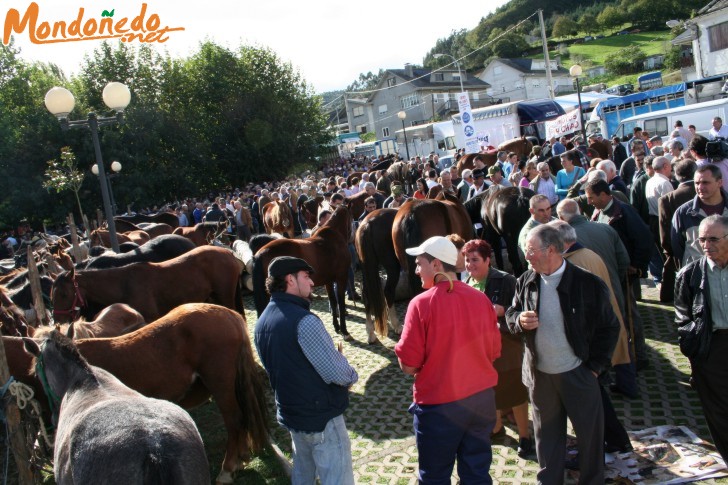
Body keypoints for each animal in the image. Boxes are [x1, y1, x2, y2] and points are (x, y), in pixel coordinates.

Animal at [253, 206, 352, 338]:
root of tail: (259, 254)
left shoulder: (329, 281)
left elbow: (333, 300)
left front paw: (336, 327)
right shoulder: (342, 278)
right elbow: (341, 302)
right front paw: (344, 330)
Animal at [354, 209, 404, 344]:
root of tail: (368, 224)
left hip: (367, 267)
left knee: (366, 295)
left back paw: (370, 333)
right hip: (392, 267)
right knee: (388, 291)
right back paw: (397, 325)